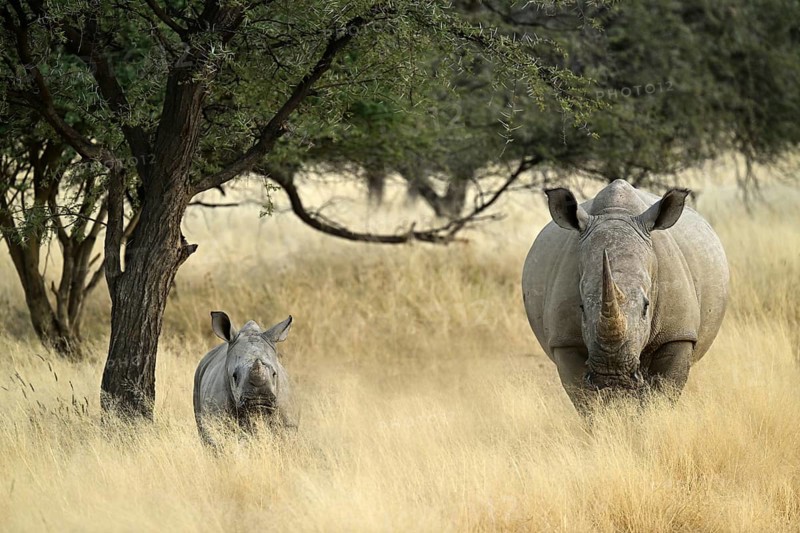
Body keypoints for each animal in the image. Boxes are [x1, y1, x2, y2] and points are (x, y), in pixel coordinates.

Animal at [521, 180, 728, 411]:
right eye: (581, 307)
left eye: (646, 307)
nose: (612, 375)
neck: (616, 213)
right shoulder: (565, 341)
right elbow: (586, 402)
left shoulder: (678, 334)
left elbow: (663, 395)